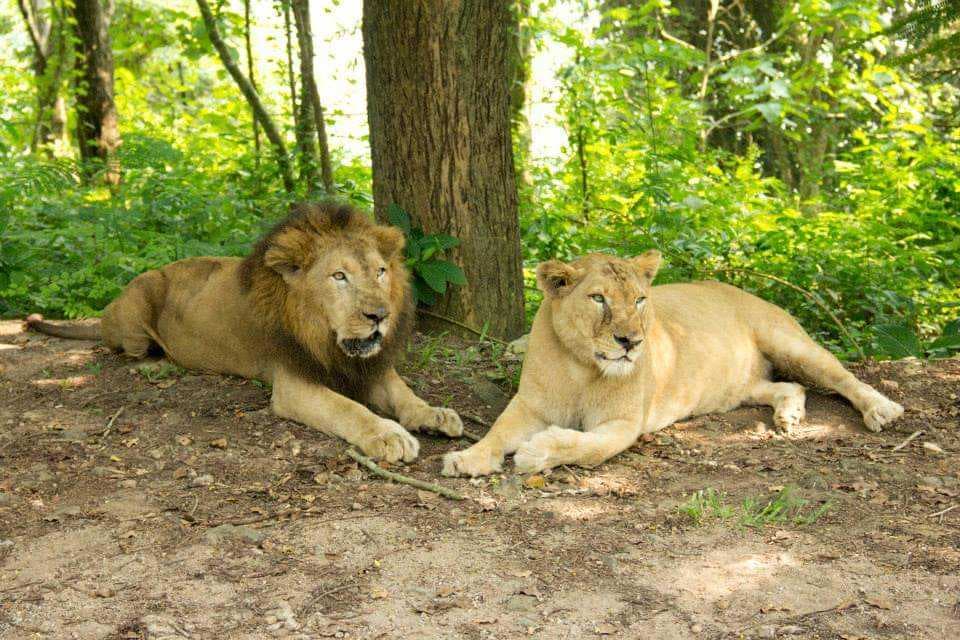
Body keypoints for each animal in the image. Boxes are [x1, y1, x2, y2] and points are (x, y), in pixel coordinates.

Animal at [27, 201, 463, 462]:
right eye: (339, 276)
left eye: (381, 272)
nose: (379, 315)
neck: (326, 339)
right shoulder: (293, 383)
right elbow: (349, 409)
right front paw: (389, 435)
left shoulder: (367, 366)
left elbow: (404, 393)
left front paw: (433, 414)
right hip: (139, 301)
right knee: (128, 350)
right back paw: (156, 364)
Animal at [442, 251, 903, 477]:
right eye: (598, 298)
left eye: (639, 300)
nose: (630, 342)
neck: (580, 366)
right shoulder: (530, 406)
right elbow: (498, 432)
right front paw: (466, 459)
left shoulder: (624, 424)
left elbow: (583, 447)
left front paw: (535, 452)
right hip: (738, 386)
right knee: (790, 386)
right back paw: (789, 416)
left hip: (788, 341)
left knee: (842, 376)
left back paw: (882, 409)